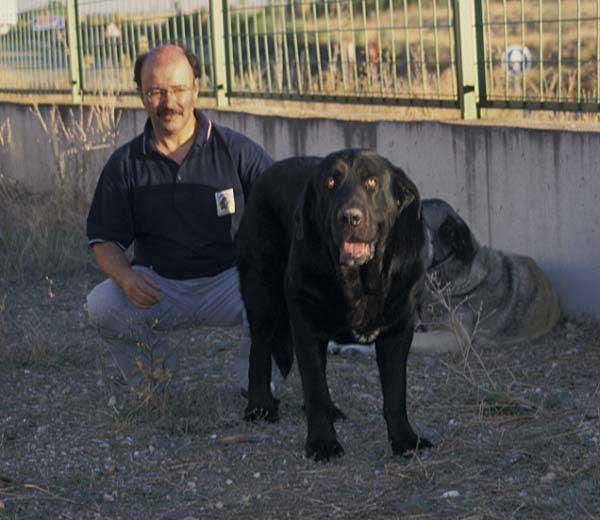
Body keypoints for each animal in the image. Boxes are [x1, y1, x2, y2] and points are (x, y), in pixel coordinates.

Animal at [234, 148, 432, 462]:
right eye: (330, 183)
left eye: (372, 182)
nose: (350, 217)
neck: (360, 281)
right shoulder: (305, 323)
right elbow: (313, 385)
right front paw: (322, 442)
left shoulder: (398, 330)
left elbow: (395, 394)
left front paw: (404, 440)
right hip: (262, 294)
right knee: (260, 349)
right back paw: (260, 405)